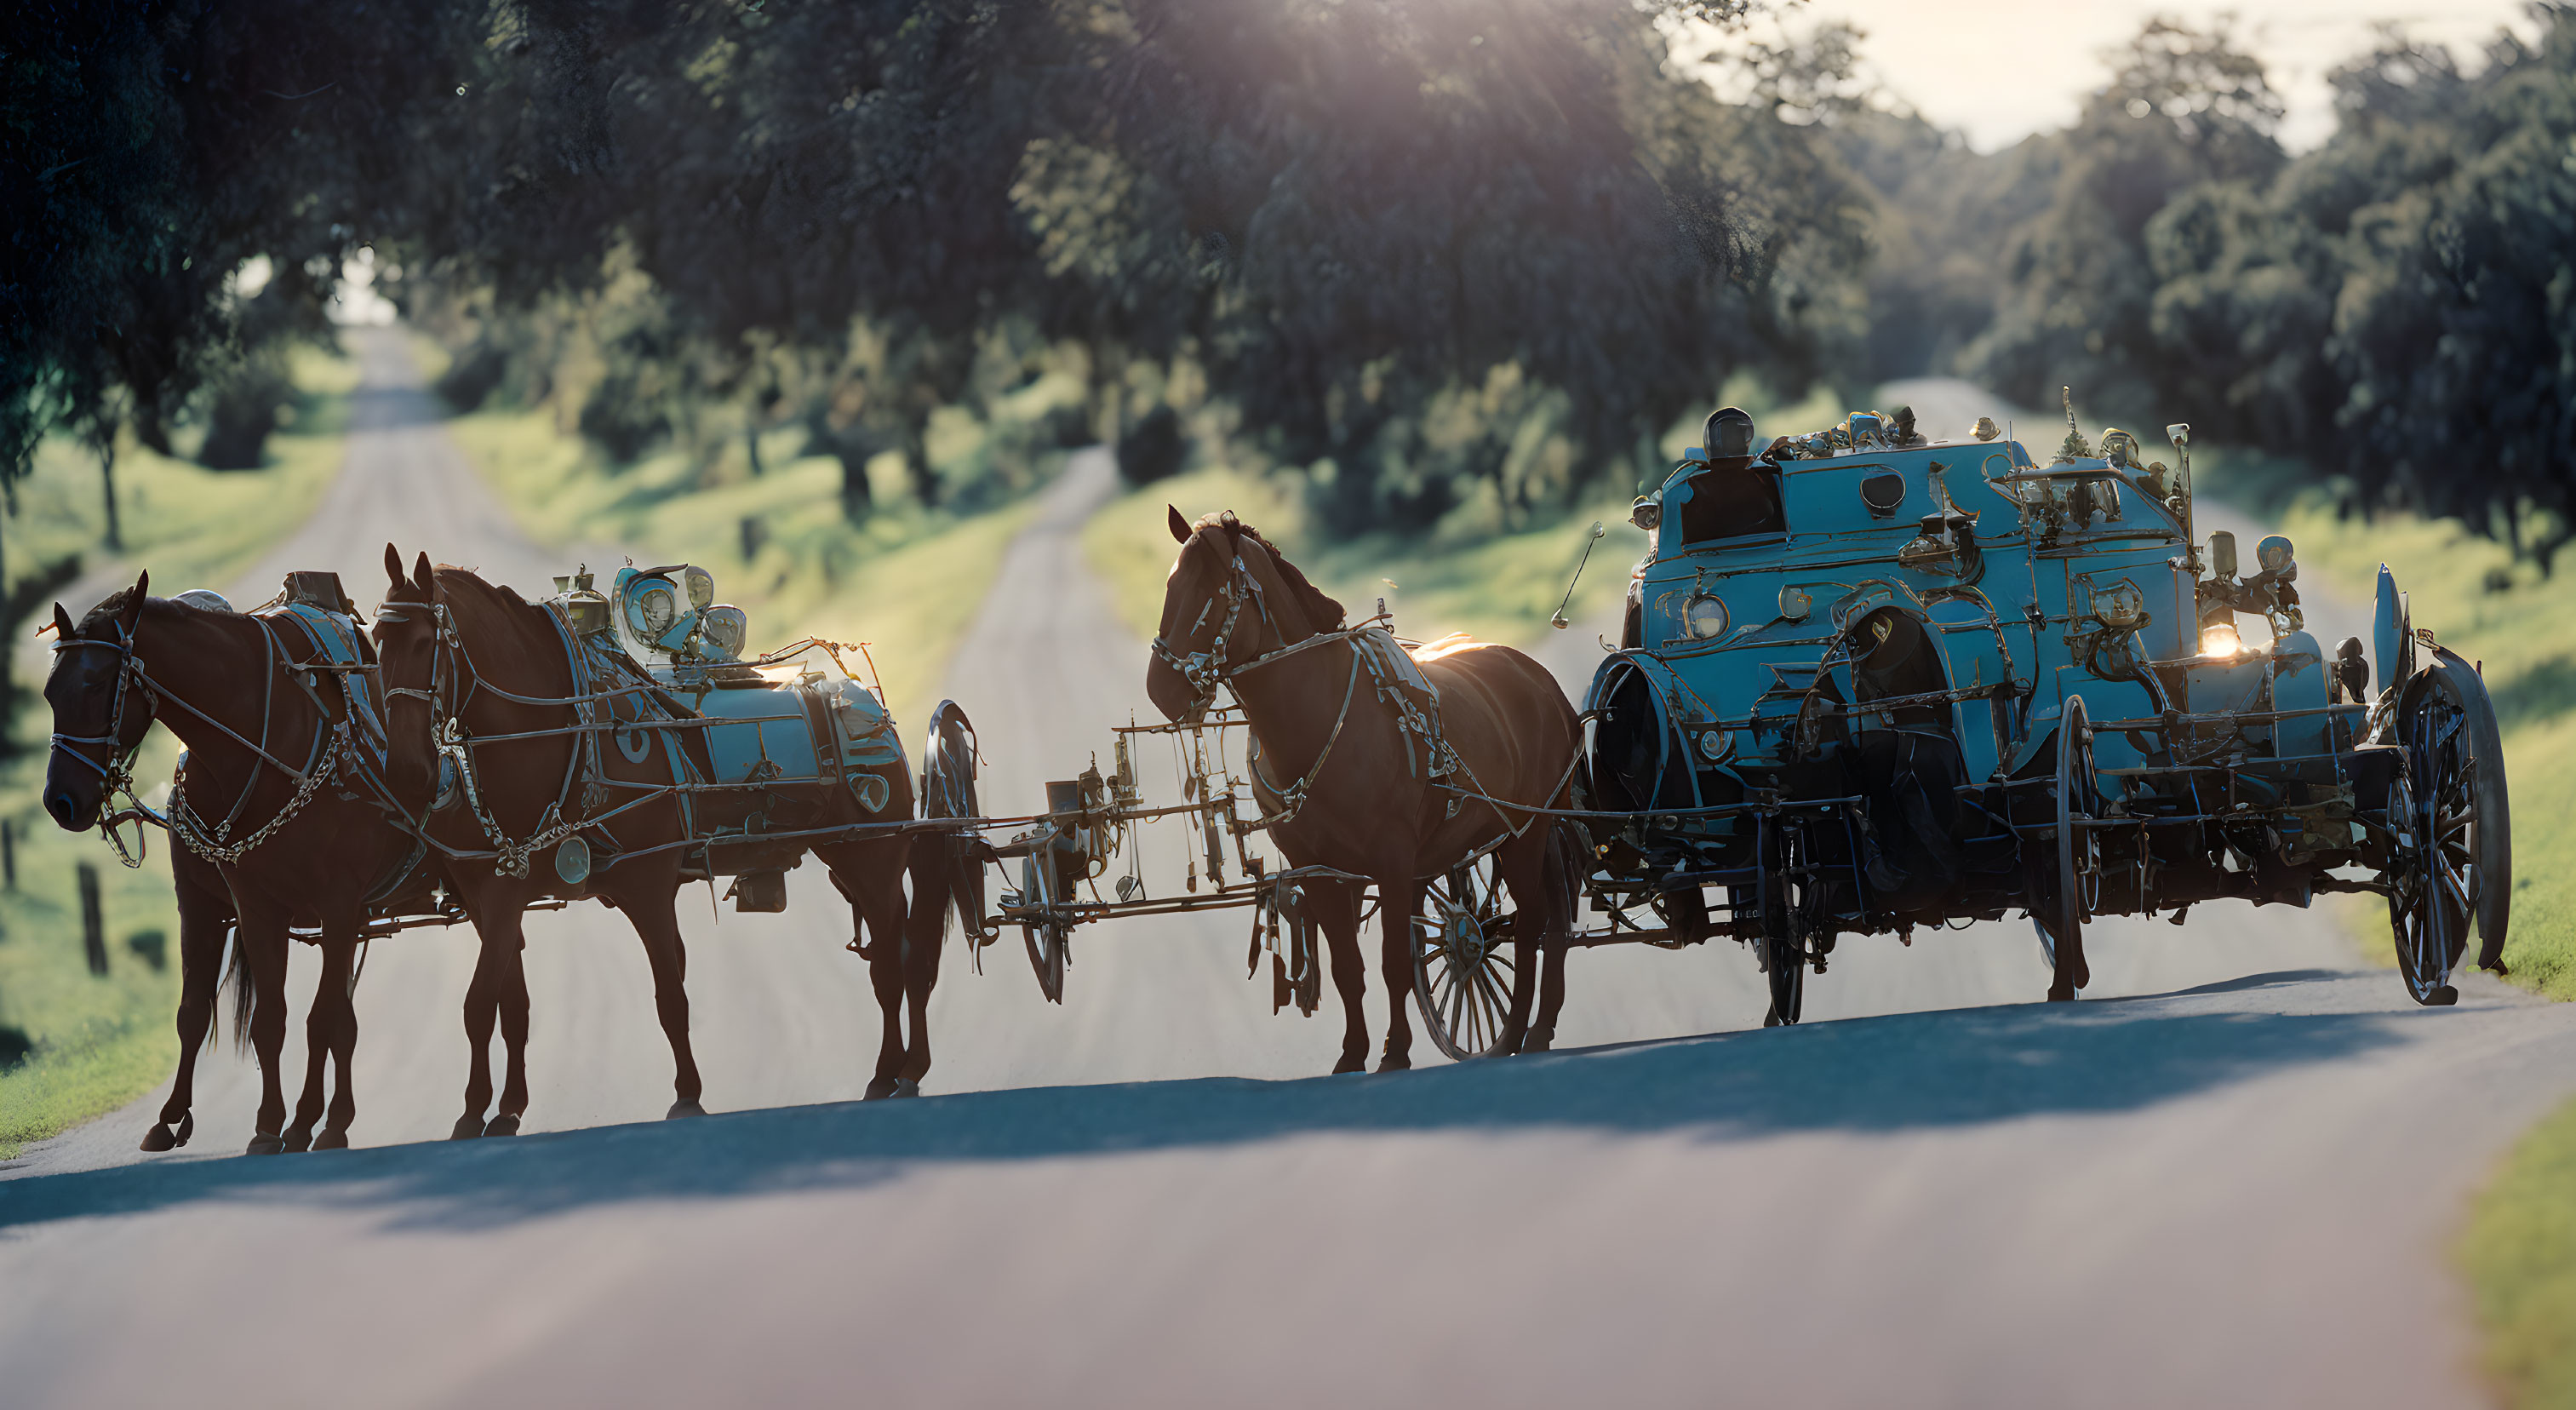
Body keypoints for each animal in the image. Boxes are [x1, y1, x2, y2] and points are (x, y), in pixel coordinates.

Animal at [41, 577, 438, 1160]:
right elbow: (226, 1017)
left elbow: (321, 1020)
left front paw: (297, 1122)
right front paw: (206, 1119)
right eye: (50, 693)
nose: (59, 801)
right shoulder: (235, 907)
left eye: (94, 684)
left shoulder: (339, 905)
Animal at [1153, 507, 1587, 1072]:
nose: (1159, 688)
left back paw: (1516, 1032)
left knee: (1534, 923)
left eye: (1214, 591)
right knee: (1550, 922)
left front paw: (1395, 1049)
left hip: (1528, 830)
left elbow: (1393, 962)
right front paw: (1353, 1052)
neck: (1318, 716)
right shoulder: (1322, 870)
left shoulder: (1394, 860)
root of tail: (1538, 678)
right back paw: (1539, 1026)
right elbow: (1347, 969)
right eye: (1170, 585)